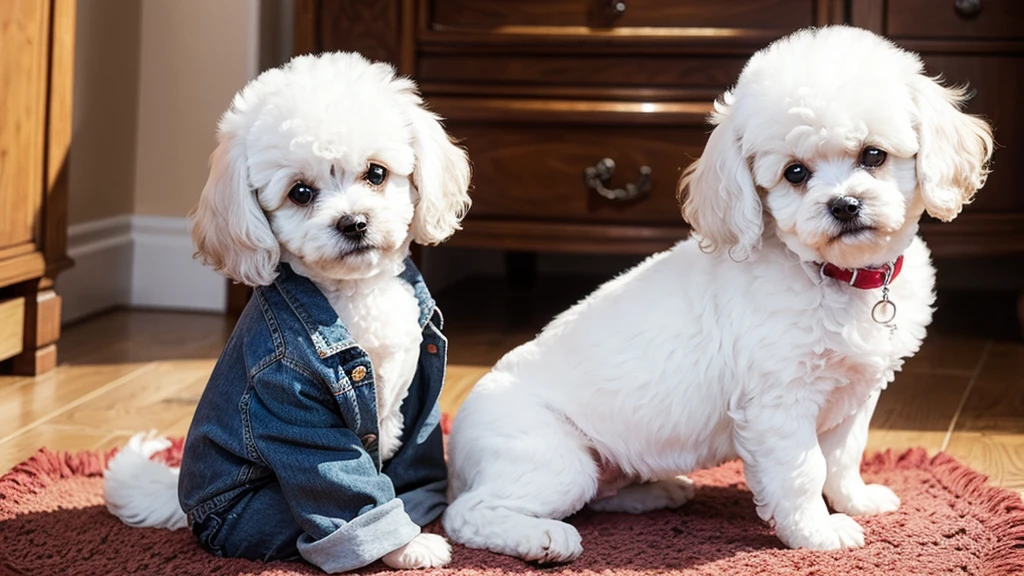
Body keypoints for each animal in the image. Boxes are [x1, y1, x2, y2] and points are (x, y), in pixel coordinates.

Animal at [103, 52, 471, 569]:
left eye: (376, 174)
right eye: (300, 192)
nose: (353, 223)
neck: (354, 292)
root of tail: (188, 508)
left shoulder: (413, 396)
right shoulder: (294, 405)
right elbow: (346, 483)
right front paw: (407, 545)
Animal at [442, 26, 991, 561]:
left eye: (873, 155)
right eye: (795, 172)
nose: (844, 205)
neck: (836, 276)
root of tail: (456, 454)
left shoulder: (856, 395)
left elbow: (844, 456)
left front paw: (856, 501)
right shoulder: (779, 404)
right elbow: (805, 470)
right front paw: (816, 534)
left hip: (597, 466)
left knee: (600, 492)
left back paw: (659, 491)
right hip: (557, 463)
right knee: (467, 515)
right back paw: (543, 538)